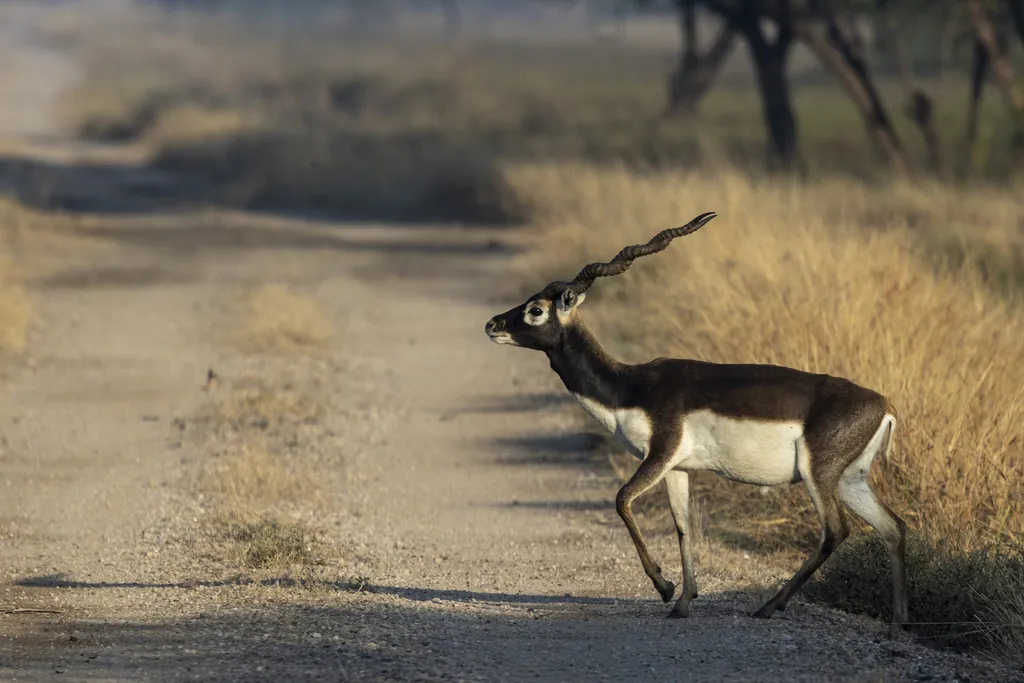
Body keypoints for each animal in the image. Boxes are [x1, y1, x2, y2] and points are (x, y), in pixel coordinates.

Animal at [484, 212, 908, 628]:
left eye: (535, 310)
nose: (492, 325)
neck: (629, 387)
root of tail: (884, 405)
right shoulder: (678, 467)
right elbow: (683, 525)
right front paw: (684, 601)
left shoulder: (660, 452)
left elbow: (621, 500)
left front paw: (665, 587)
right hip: (850, 479)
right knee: (893, 527)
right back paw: (898, 623)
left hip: (818, 474)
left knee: (835, 531)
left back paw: (770, 605)